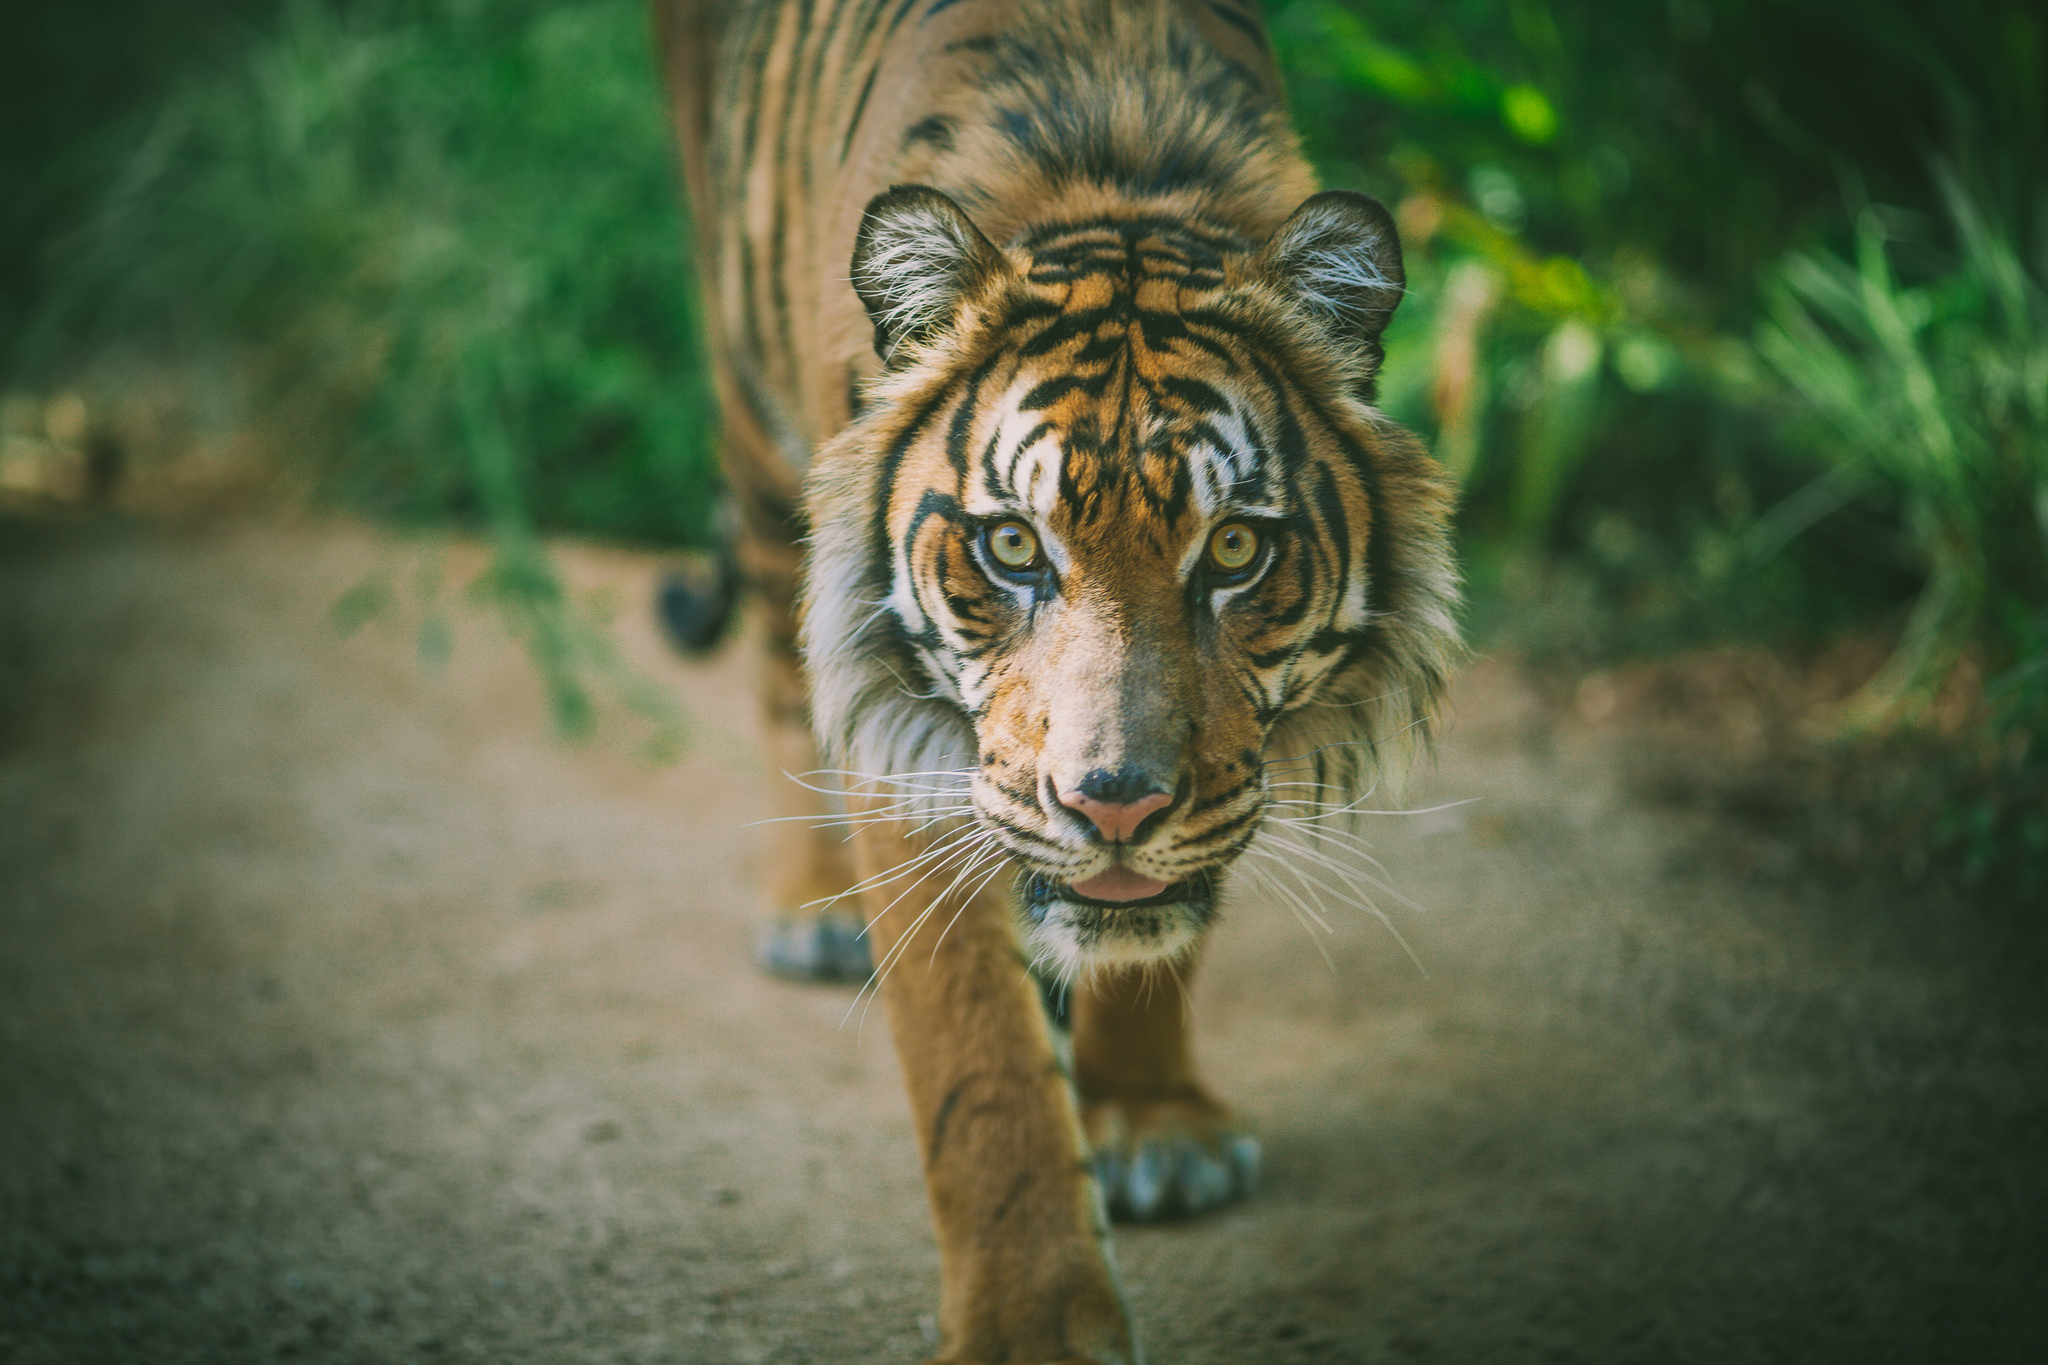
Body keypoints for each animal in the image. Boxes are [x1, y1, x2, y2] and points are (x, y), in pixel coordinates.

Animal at [647, 0, 1466, 1358]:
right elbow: (980, 1070)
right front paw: (1029, 1322)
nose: (1113, 803)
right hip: (750, 410)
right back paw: (812, 908)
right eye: (1013, 547)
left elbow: (1154, 930)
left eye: (1231, 550)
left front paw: (1153, 1122)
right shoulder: (919, 765)